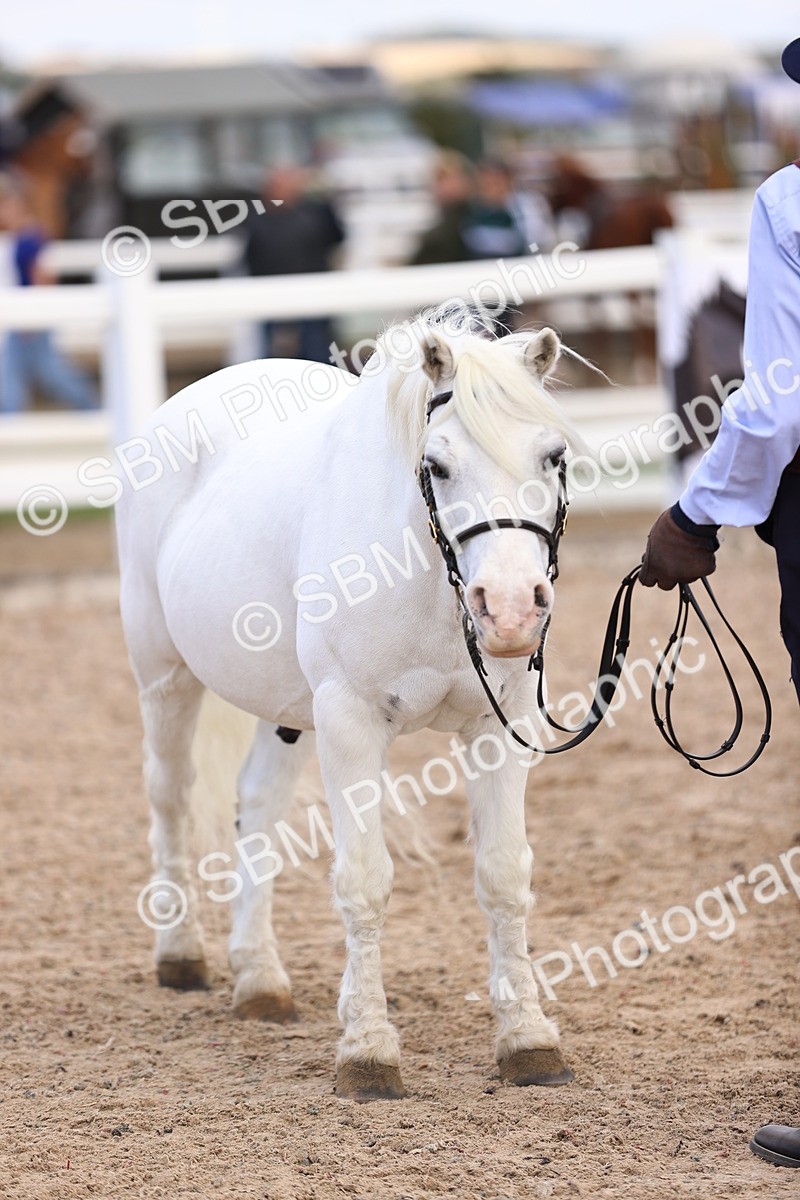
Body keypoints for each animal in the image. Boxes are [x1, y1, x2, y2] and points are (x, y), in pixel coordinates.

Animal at [115, 305, 591, 1102]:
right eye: (438, 465)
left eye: (554, 456)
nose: (511, 611)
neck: (424, 573)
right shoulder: (350, 723)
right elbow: (365, 882)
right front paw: (368, 1052)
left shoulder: (498, 728)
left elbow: (503, 875)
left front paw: (527, 1039)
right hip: (165, 676)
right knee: (169, 797)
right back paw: (180, 954)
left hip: (286, 713)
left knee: (257, 805)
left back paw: (260, 979)